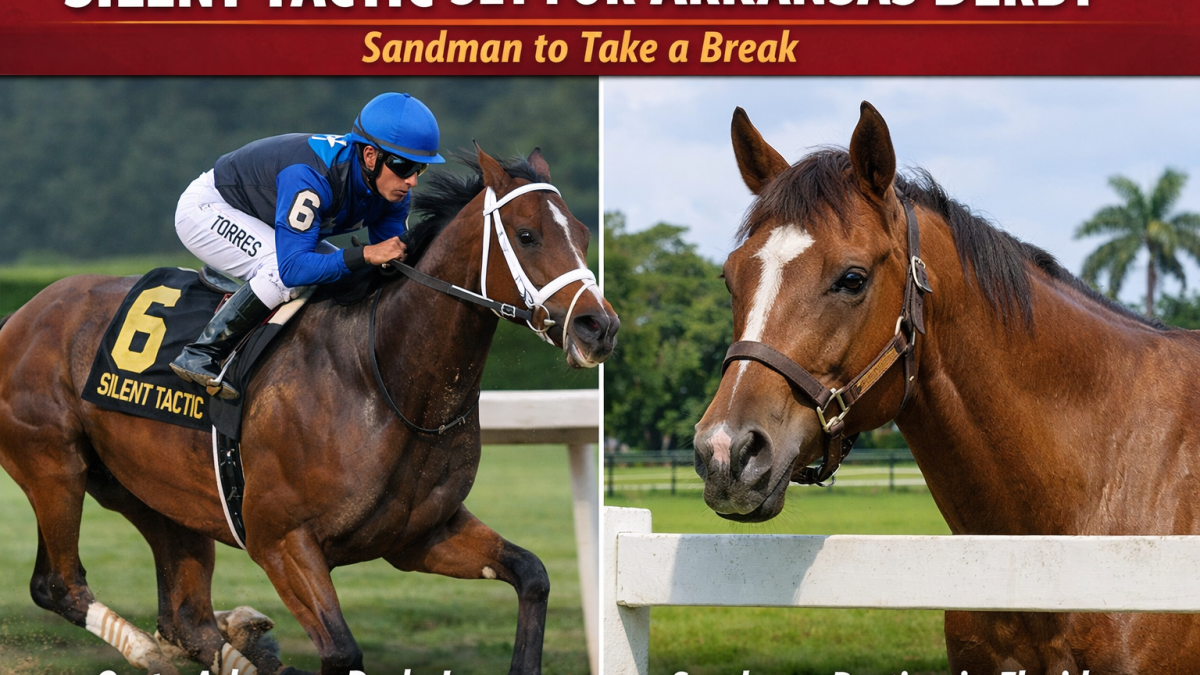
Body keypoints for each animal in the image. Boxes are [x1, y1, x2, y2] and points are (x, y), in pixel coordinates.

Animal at [0, 146, 618, 675]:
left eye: (583, 234)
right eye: (527, 235)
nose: (598, 327)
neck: (383, 377)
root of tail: (22, 314)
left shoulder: (420, 535)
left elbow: (532, 574)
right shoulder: (281, 540)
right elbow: (342, 650)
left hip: (157, 495)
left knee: (187, 621)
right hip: (54, 465)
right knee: (59, 585)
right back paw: (152, 653)